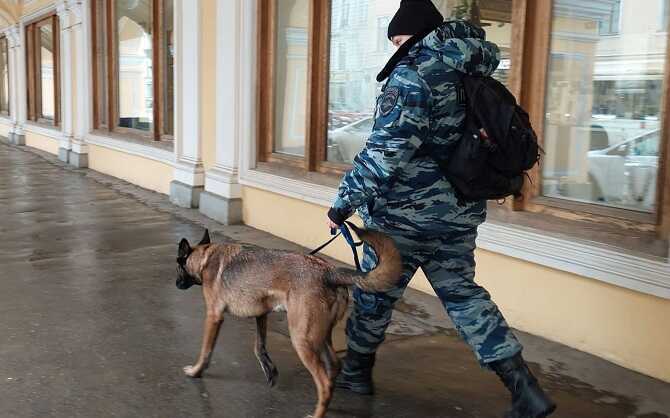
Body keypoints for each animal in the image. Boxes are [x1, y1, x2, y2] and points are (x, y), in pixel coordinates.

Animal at [176, 224, 402, 418]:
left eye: (178, 267)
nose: (177, 283)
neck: (205, 257)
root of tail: (330, 272)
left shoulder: (214, 317)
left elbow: (206, 351)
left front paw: (196, 371)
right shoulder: (261, 315)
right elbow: (259, 346)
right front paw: (269, 370)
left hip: (302, 339)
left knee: (323, 382)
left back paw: (318, 413)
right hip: (318, 338)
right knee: (333, 367)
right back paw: (328, 403)